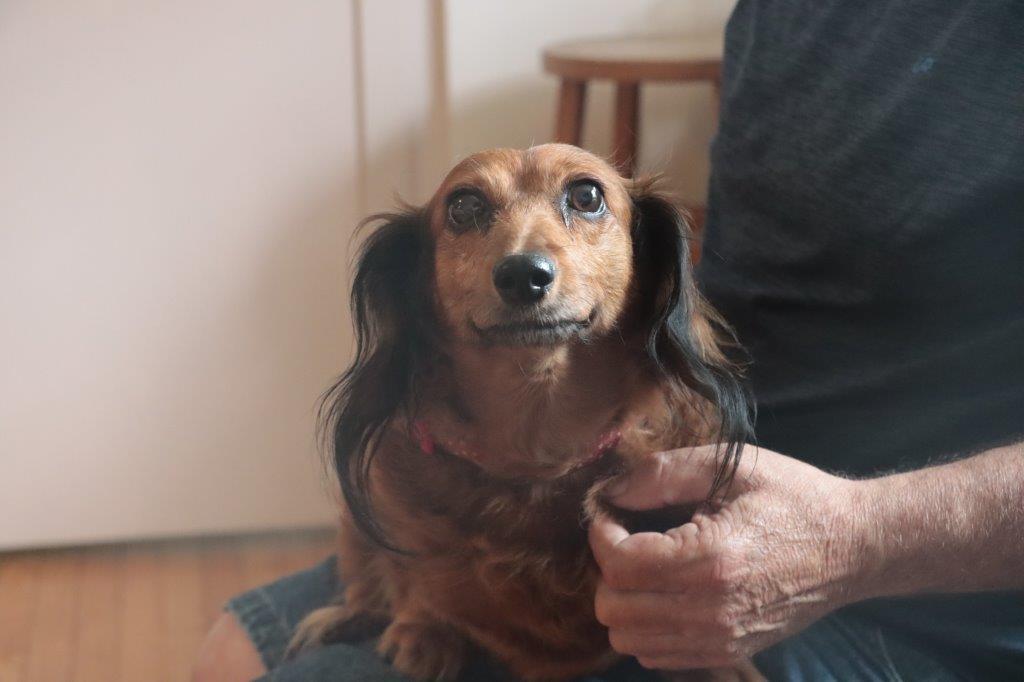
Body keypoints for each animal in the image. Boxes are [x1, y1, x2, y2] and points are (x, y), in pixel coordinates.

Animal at [292, 142, 749, 675]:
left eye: (587, 195)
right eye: (464, 206)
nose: (523, 275)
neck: (535, 448)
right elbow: (413, 583)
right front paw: (425, 629)